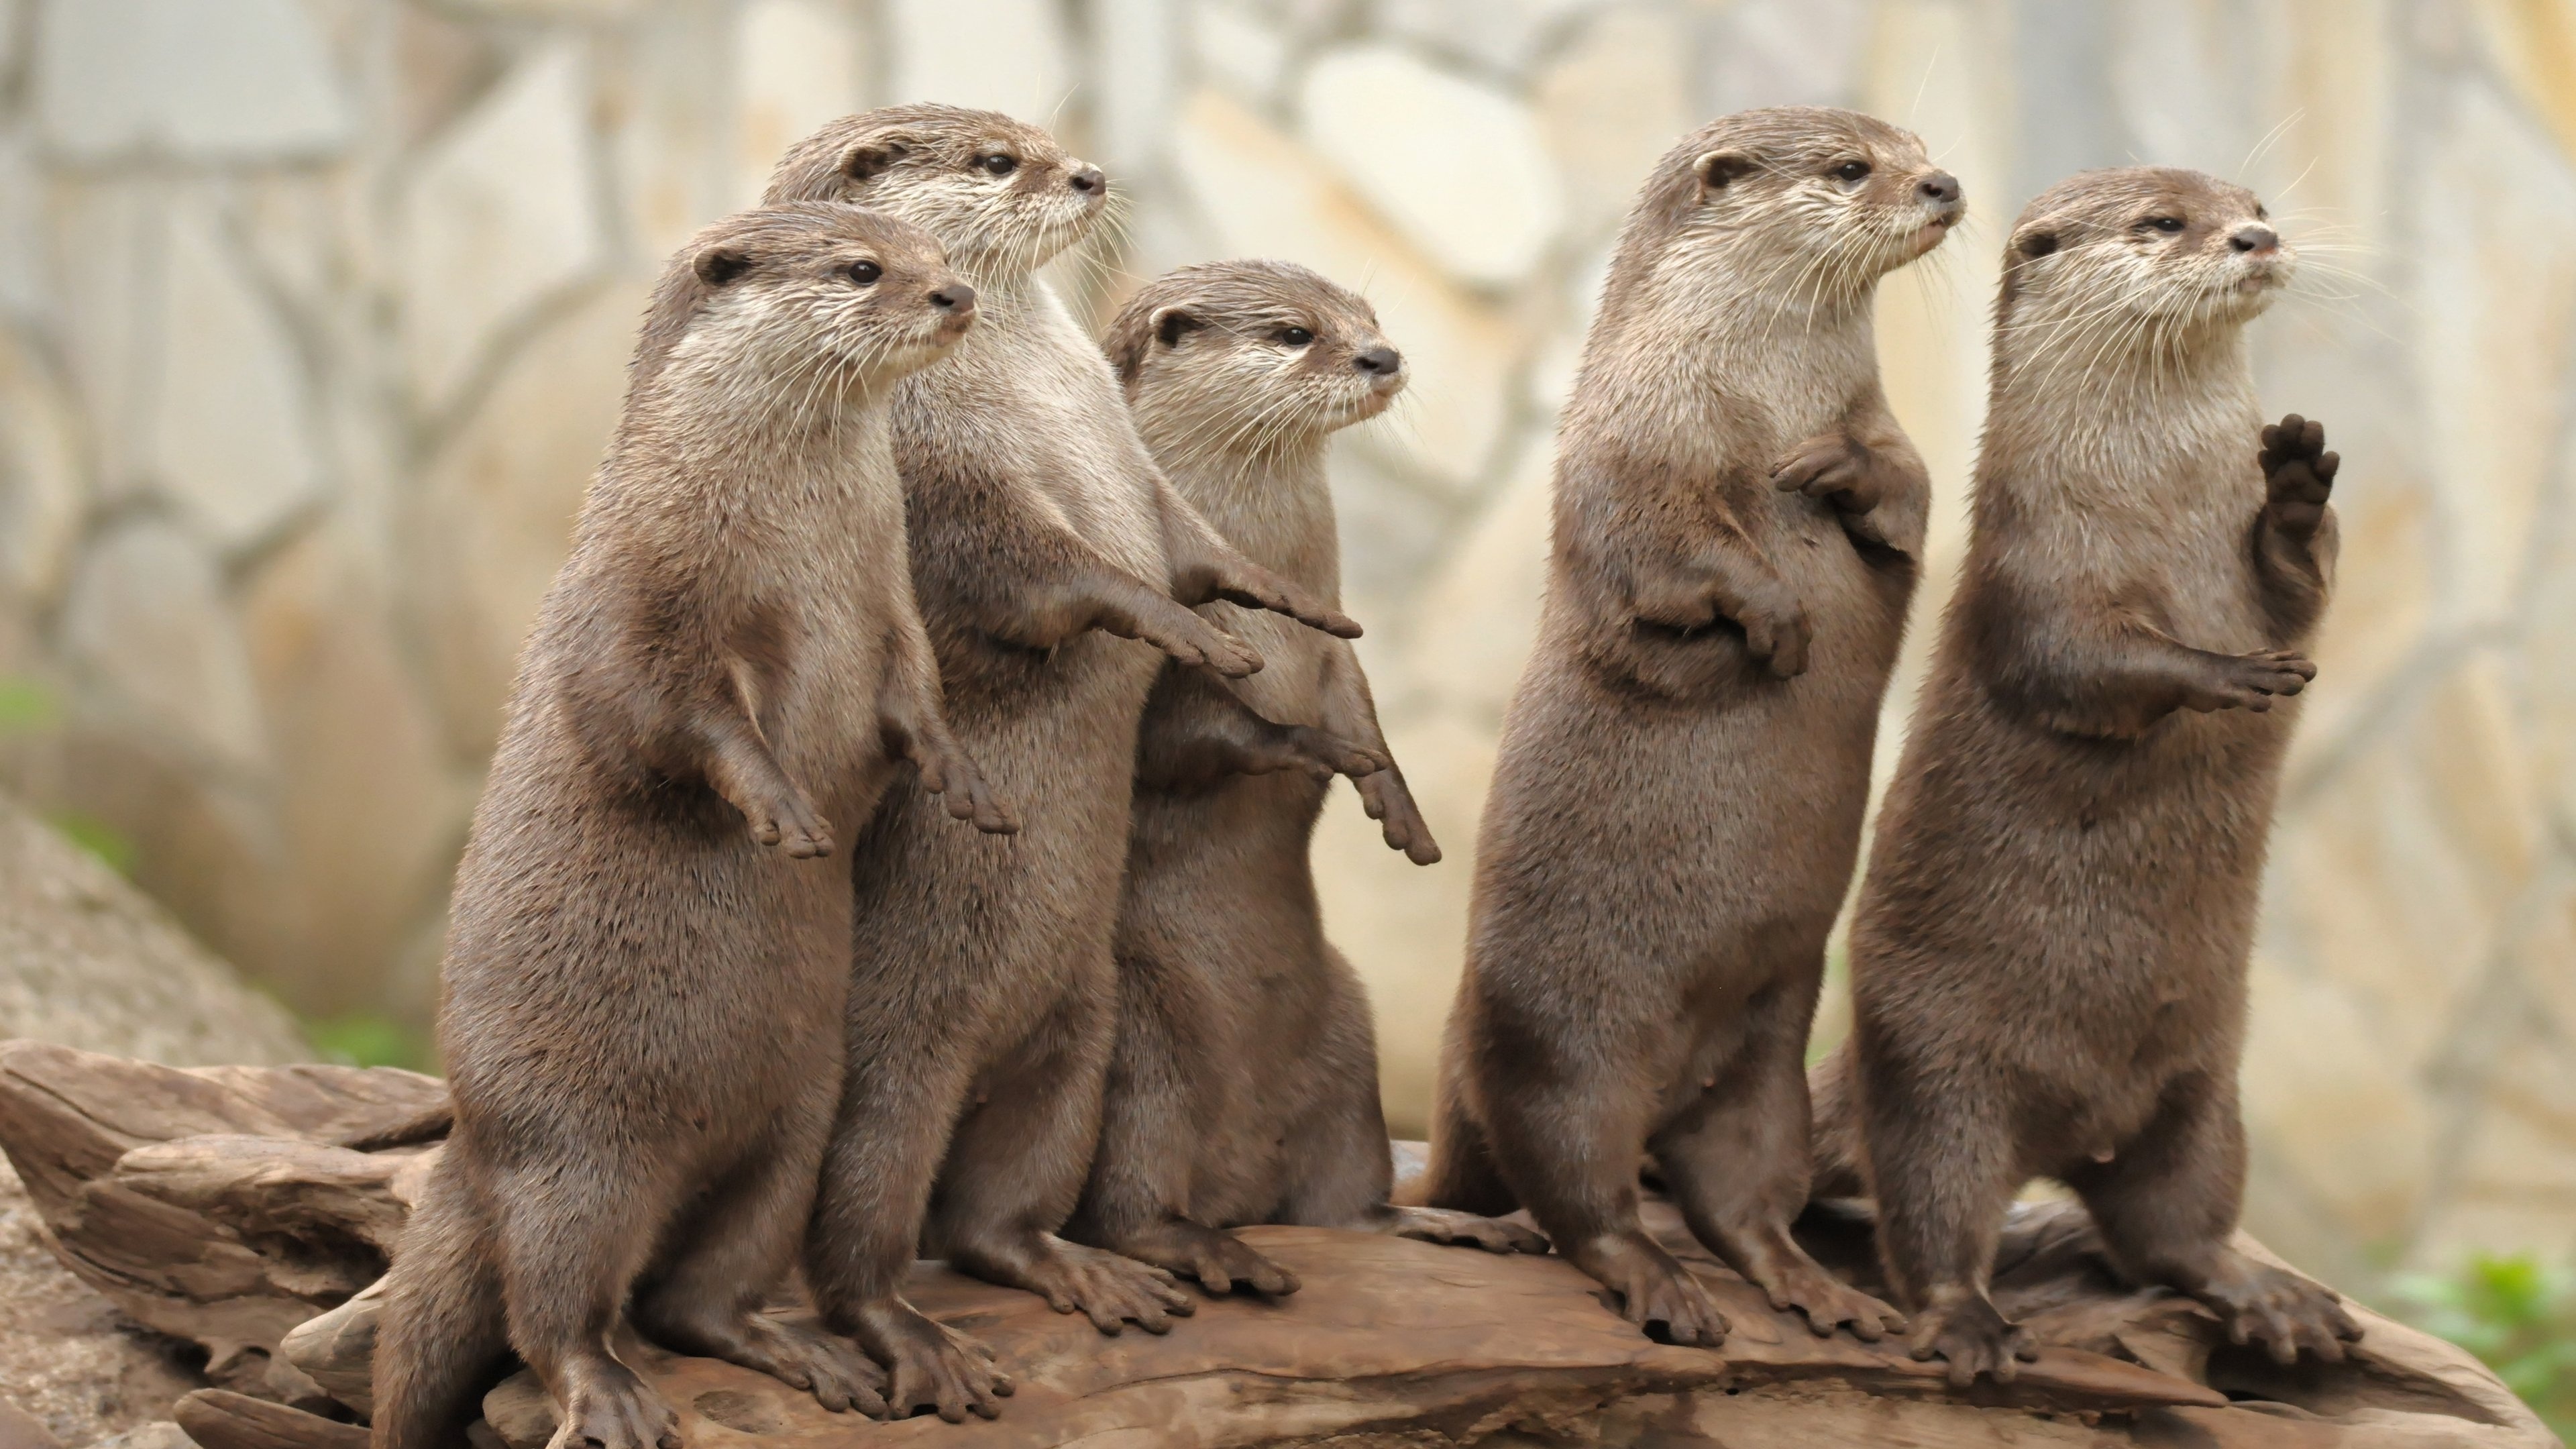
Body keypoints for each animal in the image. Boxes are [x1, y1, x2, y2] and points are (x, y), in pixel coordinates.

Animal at [370, 204, 1008, 1449]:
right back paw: (608, 1394)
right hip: (575, 1153)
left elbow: (915, 697)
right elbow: (659, 716)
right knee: (553, 1303)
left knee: (695, 1295)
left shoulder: (891, 605)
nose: (955, 295)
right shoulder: (639, 592)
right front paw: (780, 805)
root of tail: (469, 1141)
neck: (800, 545)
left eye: (931, 252)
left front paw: (959, 774)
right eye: (864, 269)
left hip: (794, 1120)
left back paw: (806, 1347)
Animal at [760, 110, 1364, 1423]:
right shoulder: (940, 471)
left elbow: (1194, 547)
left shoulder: (1134, 469)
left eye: (1036, 136)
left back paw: (1079, 1266)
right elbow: (1051, 573)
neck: (1036, 393)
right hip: (896, 1061)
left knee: (994, 1217)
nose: (1087, 173)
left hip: (1084, 1037)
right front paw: (1187, 634)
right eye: (997, 162)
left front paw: (1277, 597)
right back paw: (916, 1339)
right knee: (867, 1229)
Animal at [1062, 261, 1547, 1295]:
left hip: (1349, 1050)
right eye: (1295, 333)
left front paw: (1398, 804)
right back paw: (1210, 1254)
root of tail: (1235, 1186)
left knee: (1348, 1207)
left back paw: (1445, 1223)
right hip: (1141, 1052)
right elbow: (1216, 742)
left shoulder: (1335, 640)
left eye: (1368, 317)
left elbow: (1362, 704)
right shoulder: (1166, 667)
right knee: (1122, 1207)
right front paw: (1318, 753)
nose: (1384, 356)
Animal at [1413, 106, 1960, 1349]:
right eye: (1852, 167)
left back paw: (1820, 1292)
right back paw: (1645, 1285)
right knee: (1577, 1194)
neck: (1756, 398)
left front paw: (1840, 473)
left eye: (1914, 144)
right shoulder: (1628, 453)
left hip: (1767, 1060)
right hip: (1554, 1041)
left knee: (1742, 1200)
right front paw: (1778, 618)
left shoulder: (1886, 428)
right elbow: (1674, 553)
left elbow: (1909, 486)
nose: (1946, 184)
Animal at [1807, 166, 2360, 1385]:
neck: (2161, 511)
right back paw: (1967, 1325)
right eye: (2164, 223)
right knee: (1934, 1206)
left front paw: (2297, 484)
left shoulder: (2261, 582)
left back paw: (2271, 1299)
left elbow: (2302, 589)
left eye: (2251, 203)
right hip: (1932, 1065)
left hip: (2205, 1087)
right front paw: (2221, 673)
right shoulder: (2029, 566)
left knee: (2174, 1230)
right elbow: (2081, 663)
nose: (2256, 238)